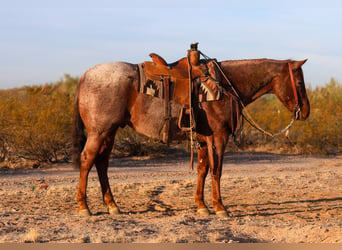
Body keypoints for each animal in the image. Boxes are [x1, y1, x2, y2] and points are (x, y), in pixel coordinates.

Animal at [72, 51, 310, 216]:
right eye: (299, 82)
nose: (306, 111)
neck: (225, 87)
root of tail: (85, 76)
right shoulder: (219, 137)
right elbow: (217, 171)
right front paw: (220, 207)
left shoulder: (204, 140)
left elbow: (203, 170)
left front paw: (201, 206)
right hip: (99, 132)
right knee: (87, 160)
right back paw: (84, 207)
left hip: (110, 132)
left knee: (101, 163)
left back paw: (112, 205)